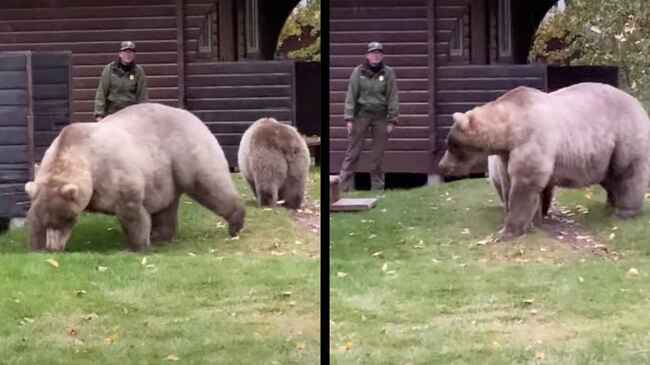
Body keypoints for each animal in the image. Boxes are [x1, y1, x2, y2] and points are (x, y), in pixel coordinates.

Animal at [24, 102, 243, 250]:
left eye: (67, 218)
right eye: (51, 221)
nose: (54, 248)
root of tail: (192, 116)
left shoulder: (113, 172)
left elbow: (131, 210)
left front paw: (137, 245)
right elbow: (34, 218)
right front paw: (38, 245)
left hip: (187, 152)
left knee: (209, 184)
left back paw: (235, 223)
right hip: (164, 174)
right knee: (166, 207)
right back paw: (161, 236)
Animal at [436, 84, 648, 240]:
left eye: (452, 145)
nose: (442, 166)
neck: (509, 130)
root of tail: (638, 104)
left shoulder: (531, 139)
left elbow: (525, 183)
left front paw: (508, 231)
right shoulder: (507, 153)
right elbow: (510, 182)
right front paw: (534, 221)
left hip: (625, 137)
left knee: (628, 173)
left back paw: (624, 211)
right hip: (604, 156)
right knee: (610, 178)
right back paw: (610, 204)